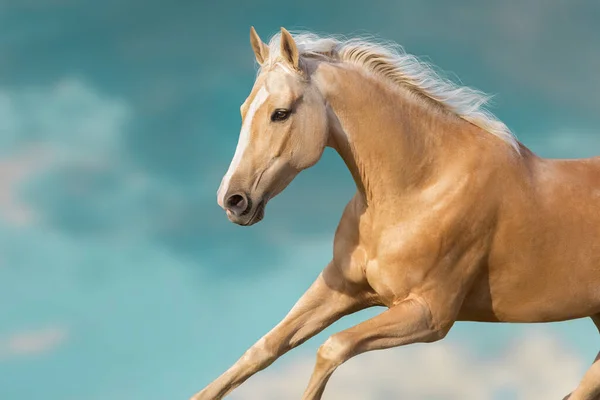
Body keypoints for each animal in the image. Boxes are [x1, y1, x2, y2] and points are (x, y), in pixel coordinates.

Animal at [192, 26, 600, 398]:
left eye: (280, 113)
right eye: (244, 110)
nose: (233, 200)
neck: (420, 187)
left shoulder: (427, 315)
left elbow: (332, 348)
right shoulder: (341, 289)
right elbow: (263, 349)